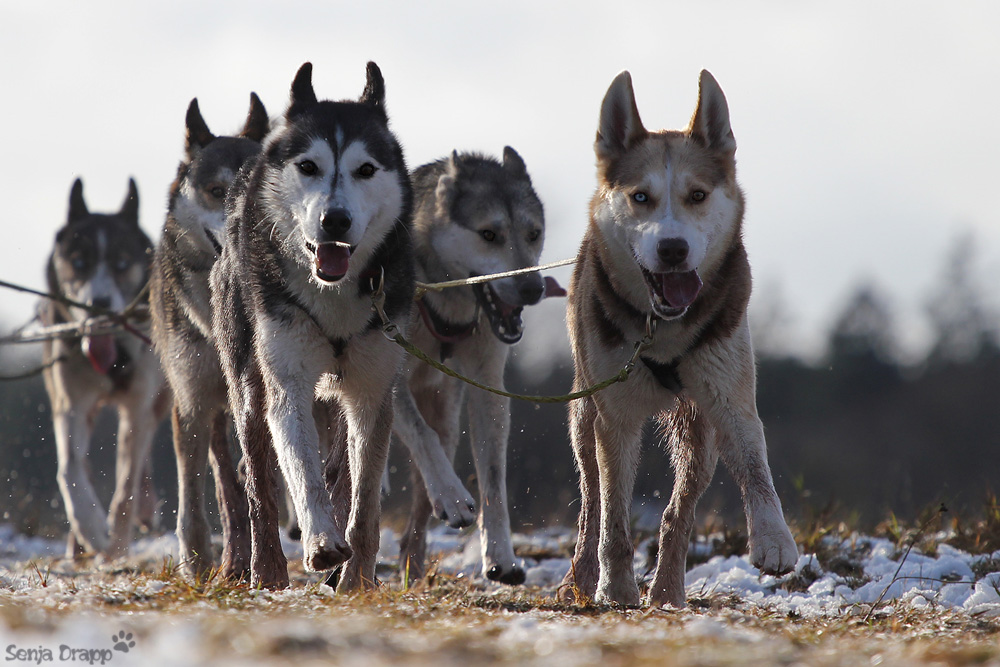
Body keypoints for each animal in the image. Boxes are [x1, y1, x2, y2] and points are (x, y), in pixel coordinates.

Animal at [40, 177, 166, 560]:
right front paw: (92, 529)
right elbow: (69, 469)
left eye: (122, 262)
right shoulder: (71, 405)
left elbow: (126, 485)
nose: (99, 304)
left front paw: (116, 549)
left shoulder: (138, 404)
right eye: (79, 262)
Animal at [211, 62, 414, 592]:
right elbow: (301, 472)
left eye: (365, 169)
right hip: (249, 387)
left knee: (341, 470)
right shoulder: (289, 380)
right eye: (309, 167)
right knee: (259, 485)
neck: (333, 296)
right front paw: (322, 542)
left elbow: (364, 501)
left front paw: (357, 576)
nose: (335, 220)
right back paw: (267, 569)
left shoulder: (371, 390)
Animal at [394, 149, 564, 588]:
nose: (532, 289)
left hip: (447, 414)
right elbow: (420, 435)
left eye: (533, 233)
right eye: (489, 234)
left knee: (416, 518)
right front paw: (454, 498)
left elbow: (493, 478)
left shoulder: (487, 386)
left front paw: (501, 556)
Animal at [564, 70, 796, 608]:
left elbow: (755, 463)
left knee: (680, 510)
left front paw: (774, 540)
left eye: (697, 195)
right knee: (591, 500)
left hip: (698, 432)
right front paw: (615, 585)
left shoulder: (728, 392)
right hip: (583, 415)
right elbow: (613, 514)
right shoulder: (614, 417)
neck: (663, 328)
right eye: (640, 197)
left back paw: (668, 588)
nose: (673, 249)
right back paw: (586, 574)